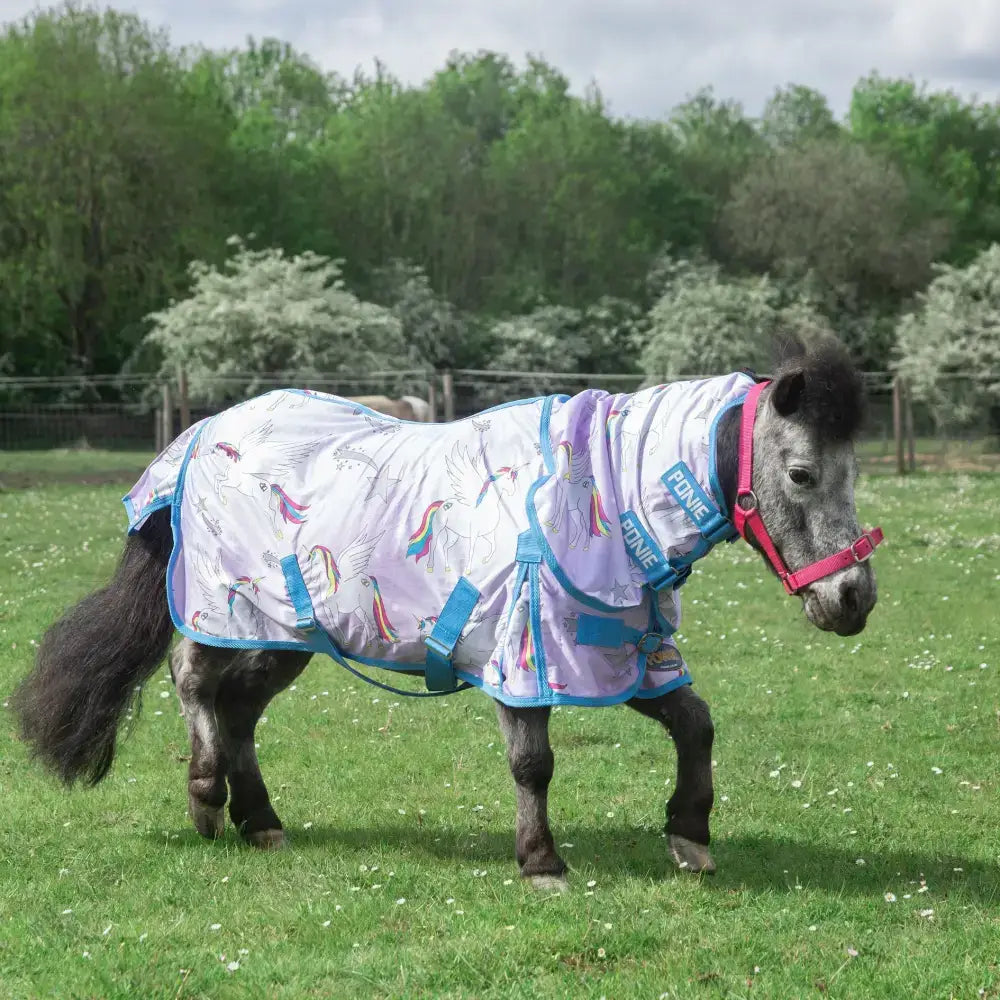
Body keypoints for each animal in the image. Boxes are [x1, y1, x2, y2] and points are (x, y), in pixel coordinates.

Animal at [12, 336, 882, 888]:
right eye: (801, 474)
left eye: (853, 470)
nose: (855, 599)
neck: (600, 492)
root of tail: (203, 433)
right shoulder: (523, 658)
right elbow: (534, 763)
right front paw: (541, 862)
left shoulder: (620, 652)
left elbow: (696, 724)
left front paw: (690, 837)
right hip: (223, 607)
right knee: (194, 681)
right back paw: (204, 797)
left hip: (287, 632)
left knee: (241, 712)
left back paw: (260, 819)